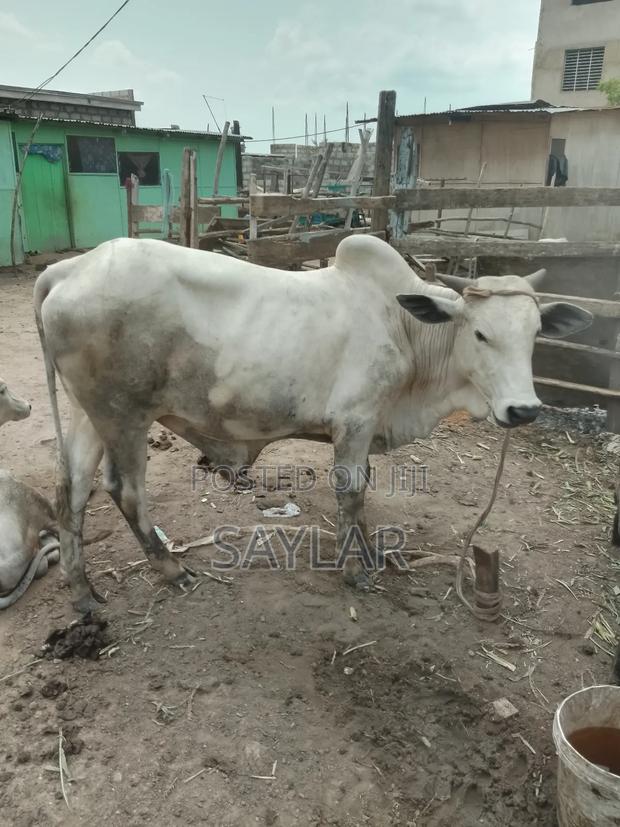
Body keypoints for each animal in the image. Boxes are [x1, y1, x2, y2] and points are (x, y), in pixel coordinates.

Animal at [33, 235, 592, 613]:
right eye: (480, 334)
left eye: (536, 334)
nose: (523, 410)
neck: (405, 328)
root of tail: (70, 269)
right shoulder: (355, 420)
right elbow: (351, 494)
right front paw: (355, 571)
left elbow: (364, 494)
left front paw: (372, 554)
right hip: (123, 413)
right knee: (124, 491)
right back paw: (171, 569)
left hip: (89, 413)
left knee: (71, 490)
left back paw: (82, 591)